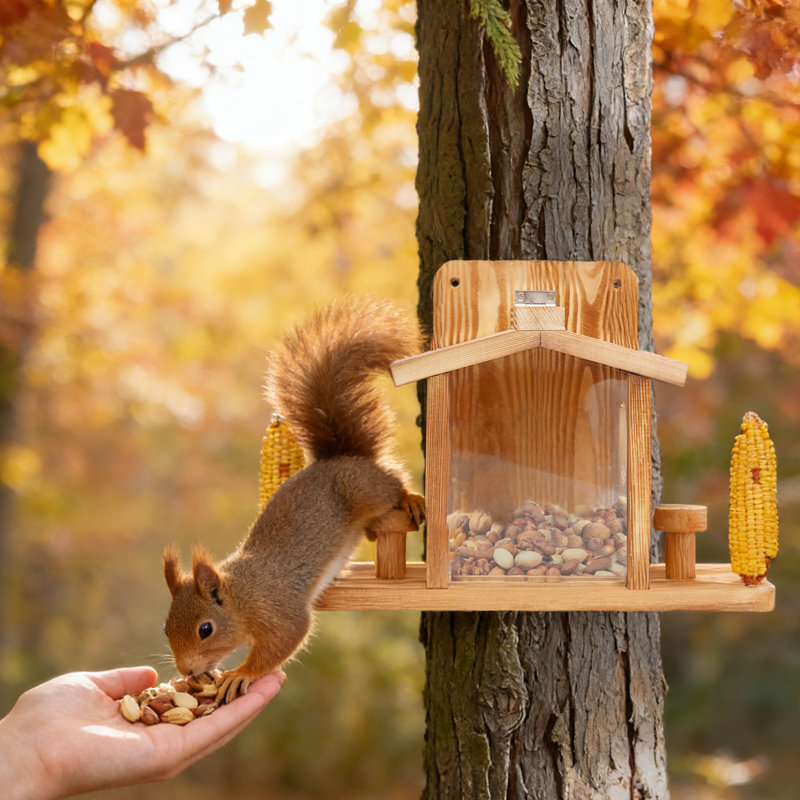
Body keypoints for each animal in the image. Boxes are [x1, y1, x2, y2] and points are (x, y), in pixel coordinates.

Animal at [162, 298, 425, 703]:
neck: (241, 596)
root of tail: (340, 457)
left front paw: (241, 673)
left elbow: (287, 636)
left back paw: (411, 497)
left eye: (205, 629)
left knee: (392, 483)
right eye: (165, 628)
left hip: (363, 488)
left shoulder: (277, 609)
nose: (187, 671)